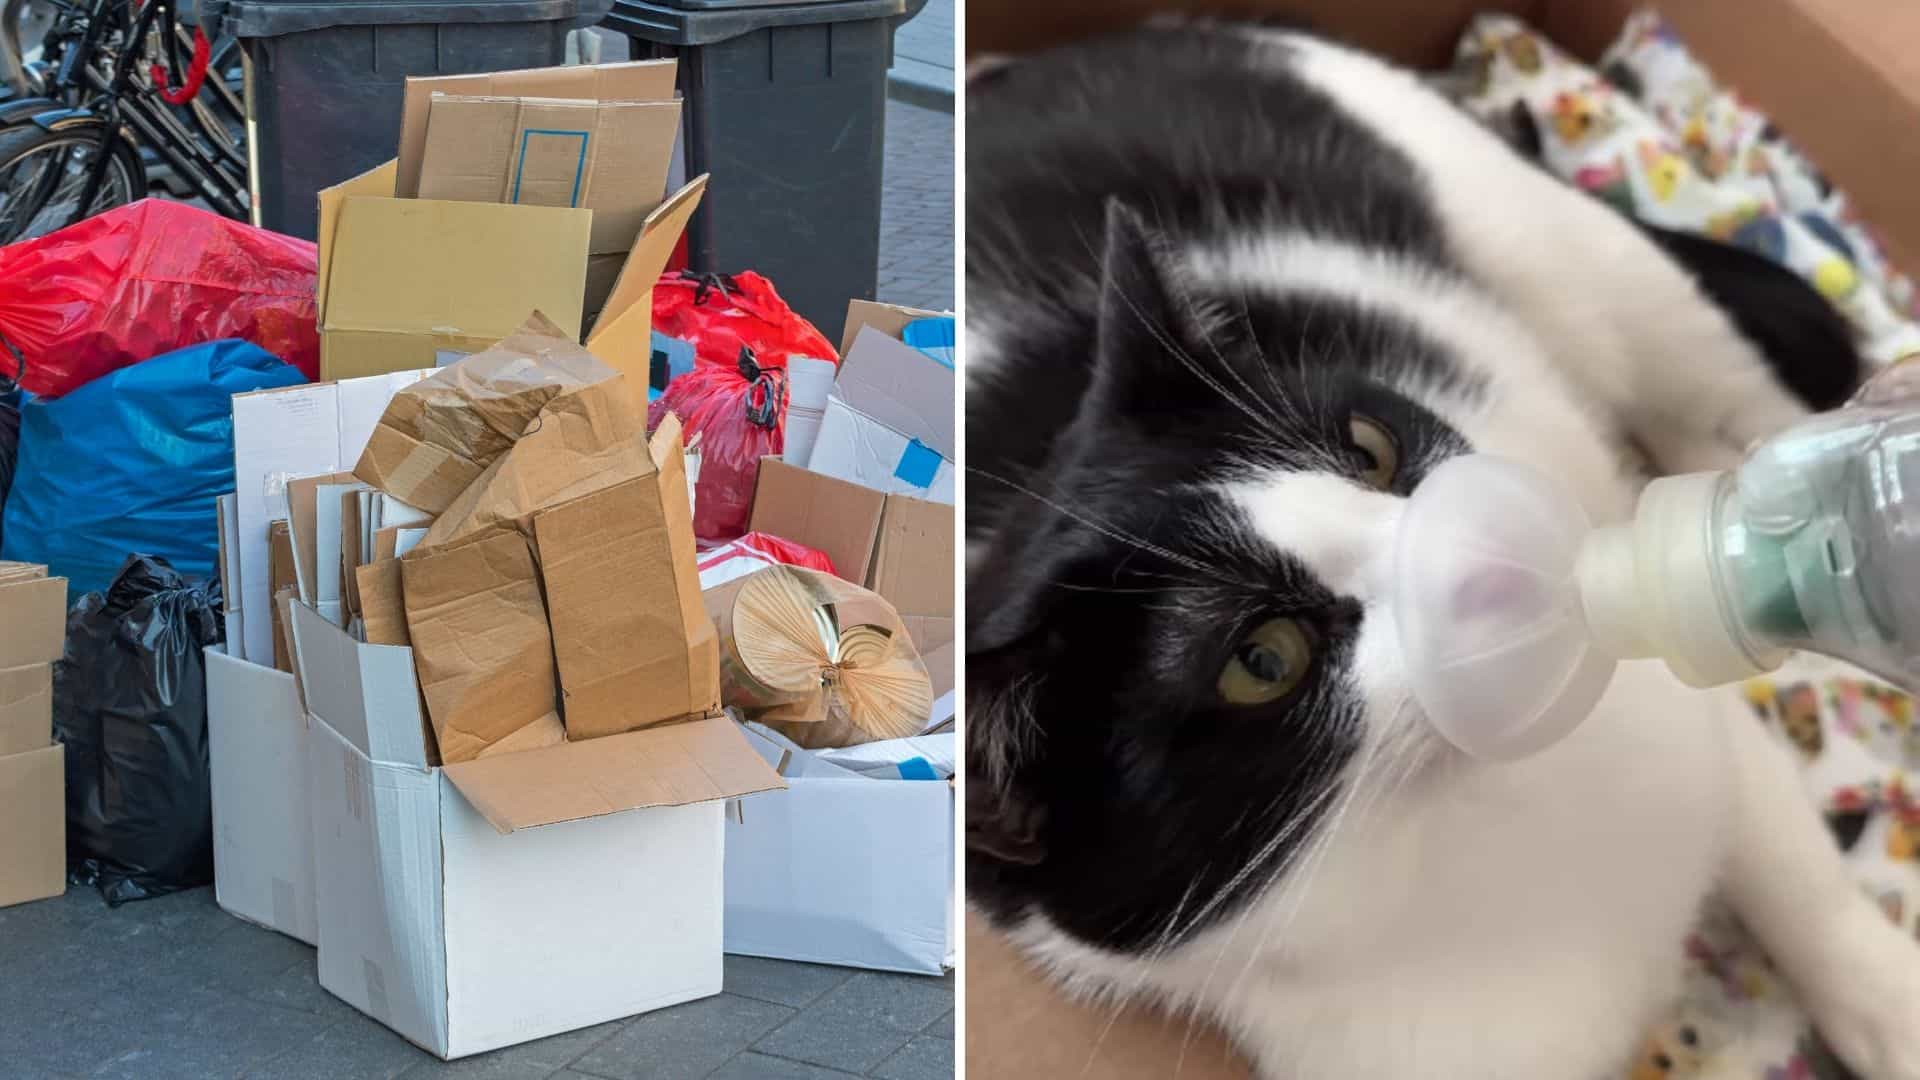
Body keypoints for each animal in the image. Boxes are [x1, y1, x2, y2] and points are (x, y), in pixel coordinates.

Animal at [967, 18, 1920, 1076]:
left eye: (1369, 449)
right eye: (1262, 660)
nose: (1497, 541)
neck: (1468, 825)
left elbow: (1784, 855)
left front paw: (1885, 997)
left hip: (1546, 237)